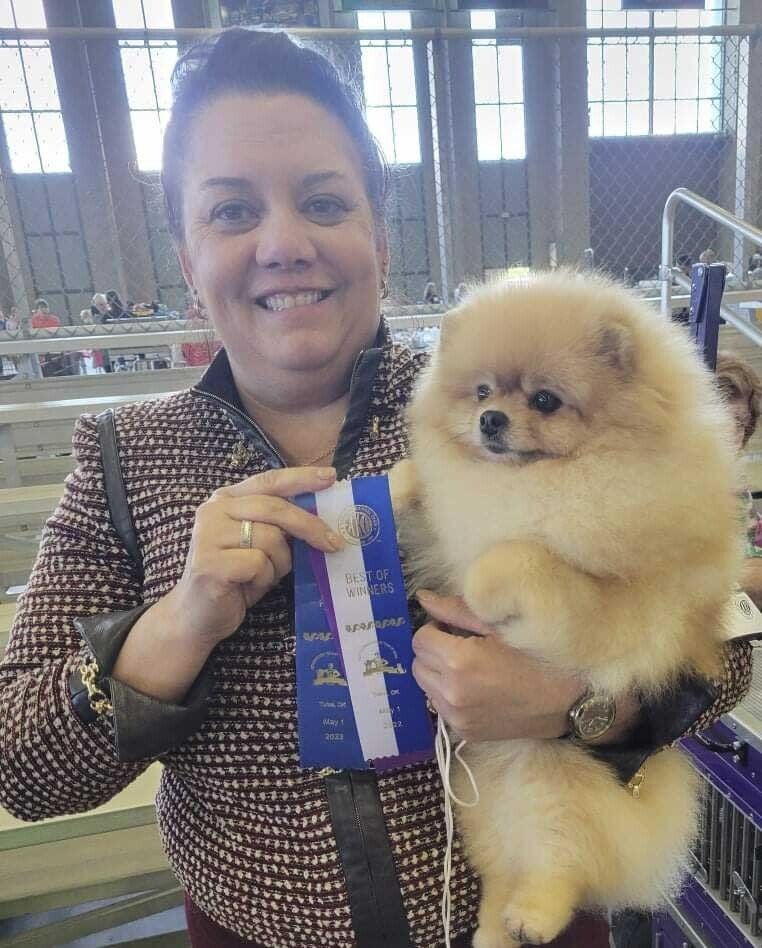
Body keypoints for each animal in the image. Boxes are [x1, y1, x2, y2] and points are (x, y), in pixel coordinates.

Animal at [388, 268, 740, 948]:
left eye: (546, 400)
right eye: (481, 391)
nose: (491, 419)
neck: (529, 482)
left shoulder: (612, 612)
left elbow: (519, 557)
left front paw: (482, 585)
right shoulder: (439, 529)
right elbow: (413, 487)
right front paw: (383, 487)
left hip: (555, 778)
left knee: (561, 859)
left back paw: (535, 913)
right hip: (482, 803)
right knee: (504, 868)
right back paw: (495, 928)